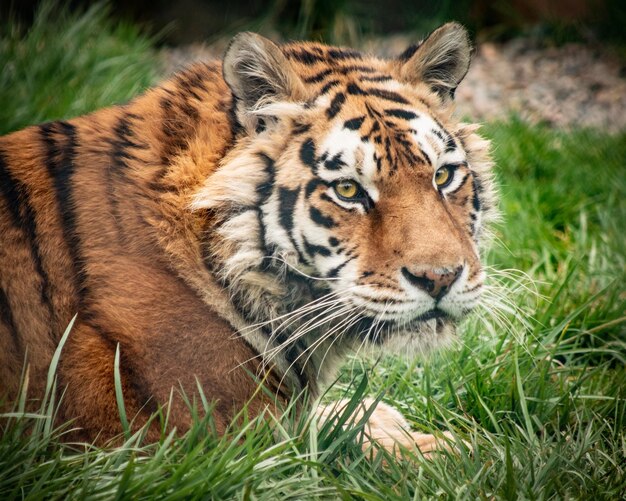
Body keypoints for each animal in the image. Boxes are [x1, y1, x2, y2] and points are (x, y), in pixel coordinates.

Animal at [0, 22, 494, 454]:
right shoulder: (209, 445)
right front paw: (451, 451)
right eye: (348, 190)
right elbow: (334, 446)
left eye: (443, 176)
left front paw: (389, 420)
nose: (440, 278)